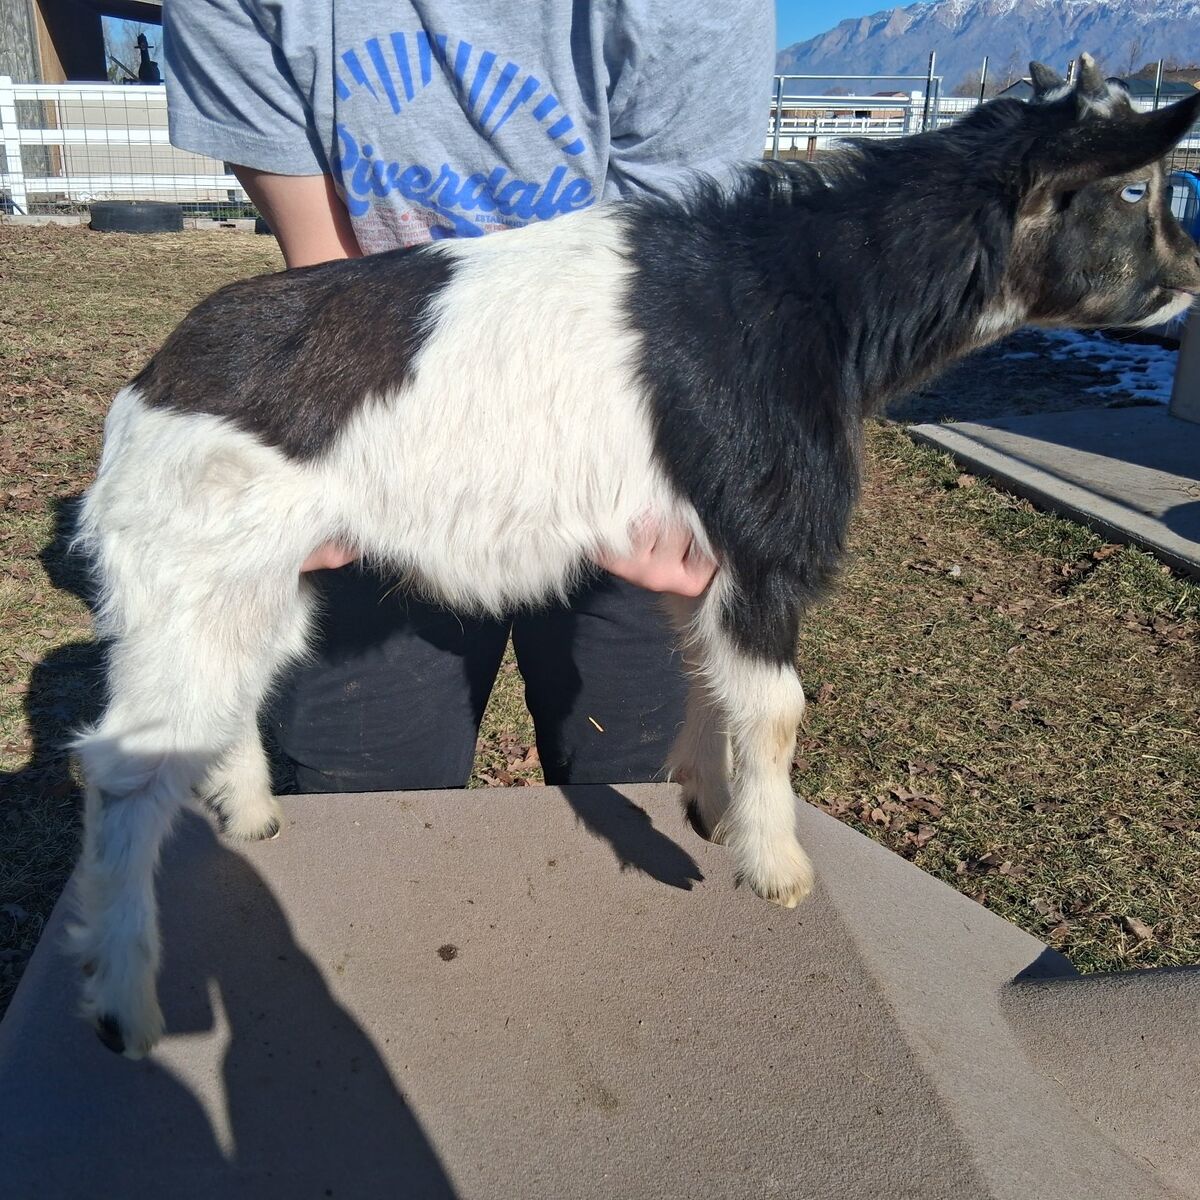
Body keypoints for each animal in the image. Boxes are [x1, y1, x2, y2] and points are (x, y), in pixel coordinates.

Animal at [70, 56, 1200, 1057]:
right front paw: (776, 867)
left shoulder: (697, 557)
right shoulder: (764, 538)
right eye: (1134, 186)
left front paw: (707, 802)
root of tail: (155, 381)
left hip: (255, 593)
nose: (1189, 278)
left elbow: (709, 674)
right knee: (123, 773)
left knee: (219, 713)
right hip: (188, 582)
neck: (816, 296)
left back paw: (252, 819)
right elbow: (776, 708)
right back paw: (124, 1003)